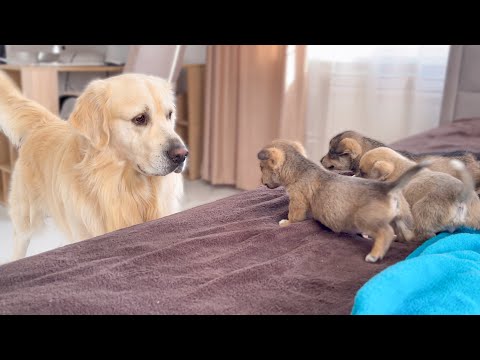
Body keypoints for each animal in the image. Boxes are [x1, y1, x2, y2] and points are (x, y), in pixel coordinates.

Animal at [0, 71, 188, 262]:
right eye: (140, 118)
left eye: (169, 115)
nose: (182, 155)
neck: (128, 189)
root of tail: (43, 124)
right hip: (25, 221)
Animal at [258, 139, 428, 262]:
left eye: (261, 167)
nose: (262, 182)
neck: (299, 170)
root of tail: (388, 188)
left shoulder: (297, 201)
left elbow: (293, 217)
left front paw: (285, 223)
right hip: (402, 219)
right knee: (405, 235)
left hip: (364, 219)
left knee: (385, 232)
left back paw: (374, 254)